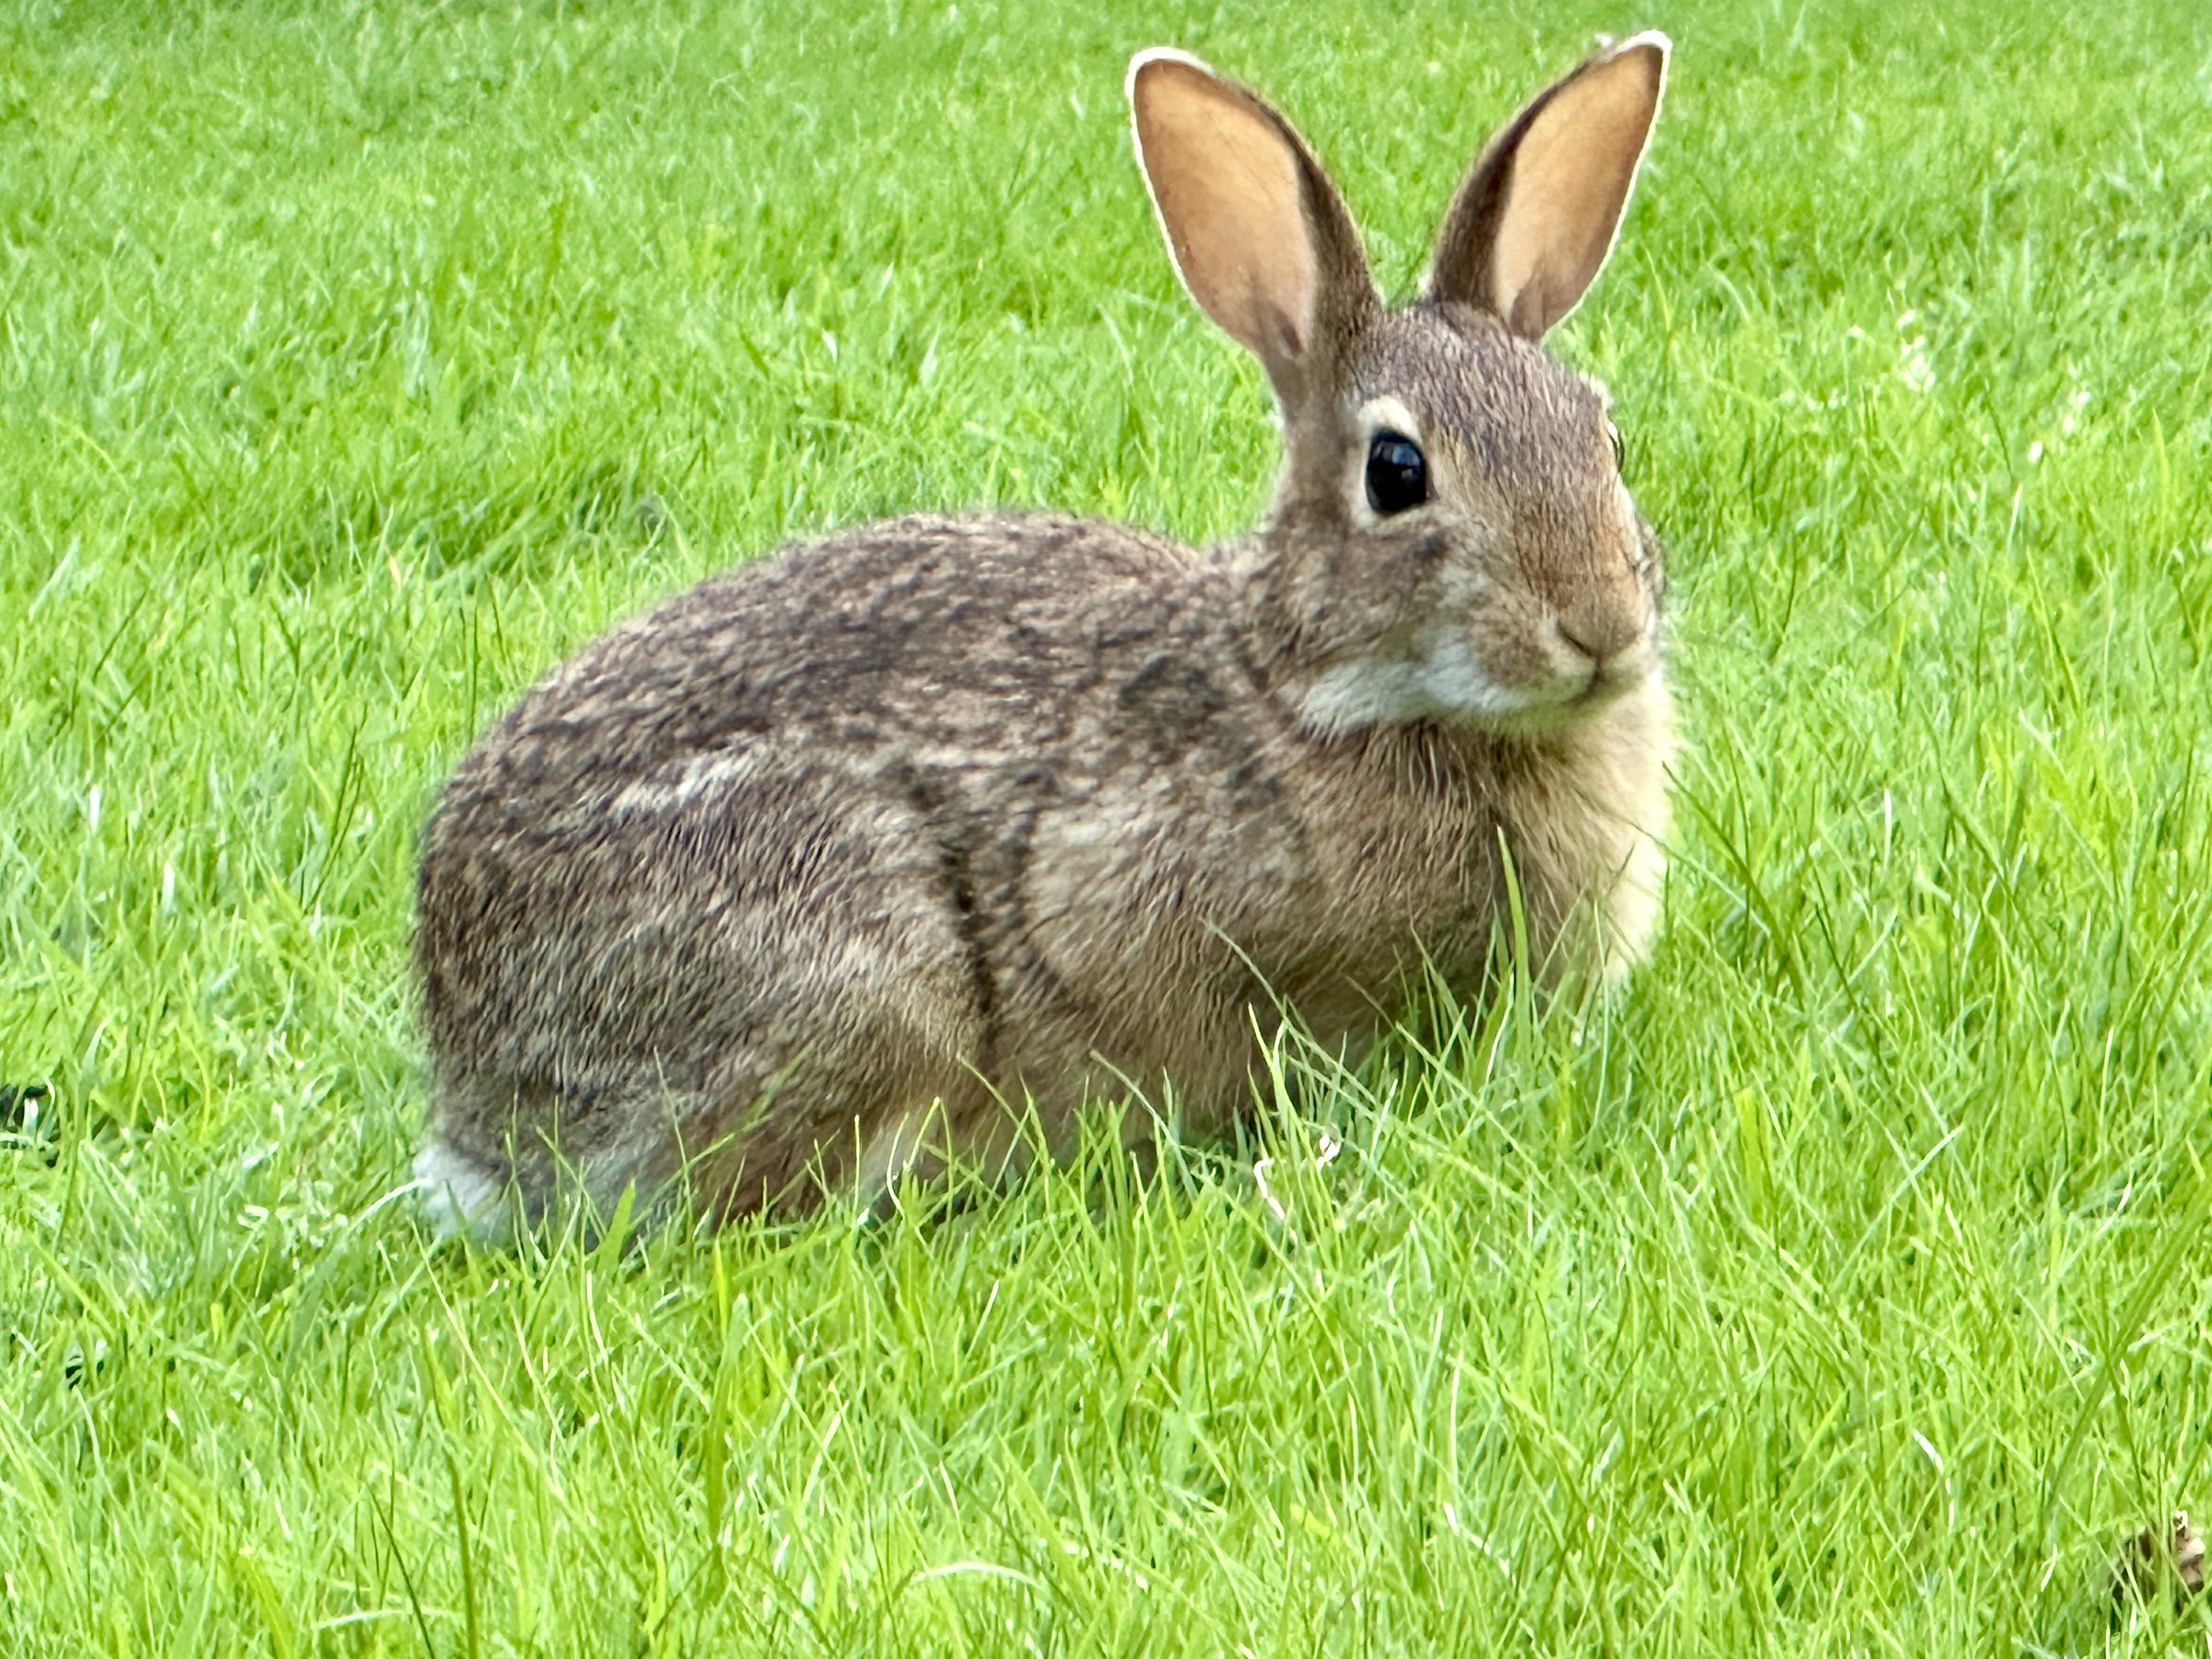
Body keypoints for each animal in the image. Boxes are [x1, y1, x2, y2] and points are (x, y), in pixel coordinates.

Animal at [412, 32, 1678, 1237]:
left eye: (1603, 435)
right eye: (1397, 472)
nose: (1600, 625)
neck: (1321, 690)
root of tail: (474, 1105)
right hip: (859, 977)